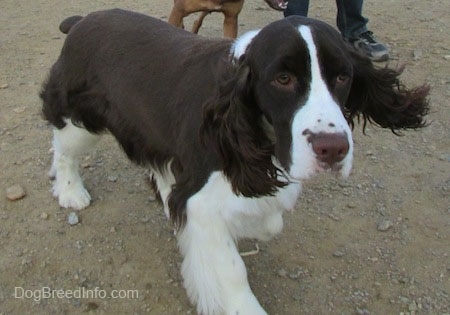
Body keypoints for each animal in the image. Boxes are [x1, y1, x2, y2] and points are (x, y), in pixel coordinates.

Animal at [41, 9, 428, 315]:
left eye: (343, 76)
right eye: (283, 79)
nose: (332, 149)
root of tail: (81, 20)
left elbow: (268, 221)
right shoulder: (202, 200)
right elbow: (229, 268)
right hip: (81, 118)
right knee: (63, 149)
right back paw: (71, 192)